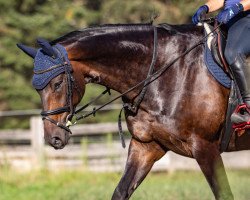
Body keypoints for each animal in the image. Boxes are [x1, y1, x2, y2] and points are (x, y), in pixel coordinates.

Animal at [18, 22, 250, 199]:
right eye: (37, 89)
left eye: (57, 84)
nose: (54, 138)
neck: (165, 73)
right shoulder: (146, 145)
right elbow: (121, 191)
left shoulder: (205, 146)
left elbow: (224, 194)